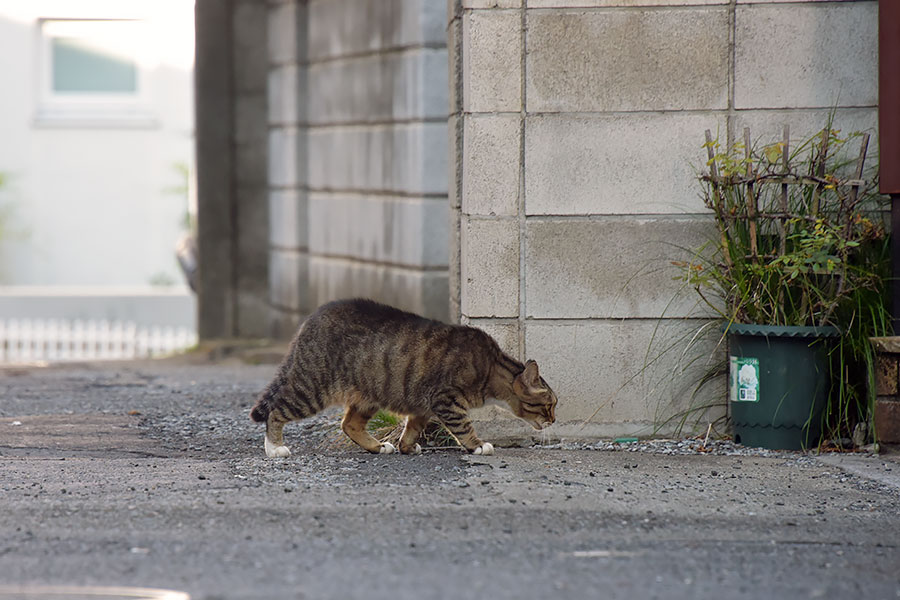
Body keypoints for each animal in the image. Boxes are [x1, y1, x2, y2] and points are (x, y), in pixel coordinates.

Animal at [248, 300, 556, 460]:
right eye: (550, 404)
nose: (554, 420)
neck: (492, 367)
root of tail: (309, 320)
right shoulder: (446, 399)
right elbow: (464, 425)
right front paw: (477, 445)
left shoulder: (424, 406)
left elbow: (413, 427)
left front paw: (406, 446)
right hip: (312, 388)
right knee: (276, 410)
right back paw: (274, 447)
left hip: (368, 394)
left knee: (349, 424)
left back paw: (376, 446)